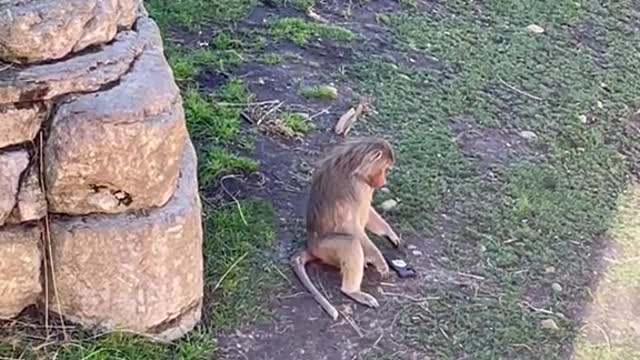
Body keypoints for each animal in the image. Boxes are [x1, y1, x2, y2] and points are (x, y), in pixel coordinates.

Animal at [290, 136, 400, 320]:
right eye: (384, 169)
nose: (383, 182)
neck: (355, 168)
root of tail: (311, 246)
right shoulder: (356, 187)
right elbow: (350, 226)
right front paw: (379, 260)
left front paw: (389, 234)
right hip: (325, 249)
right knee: (351, 242)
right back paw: (353, 291)